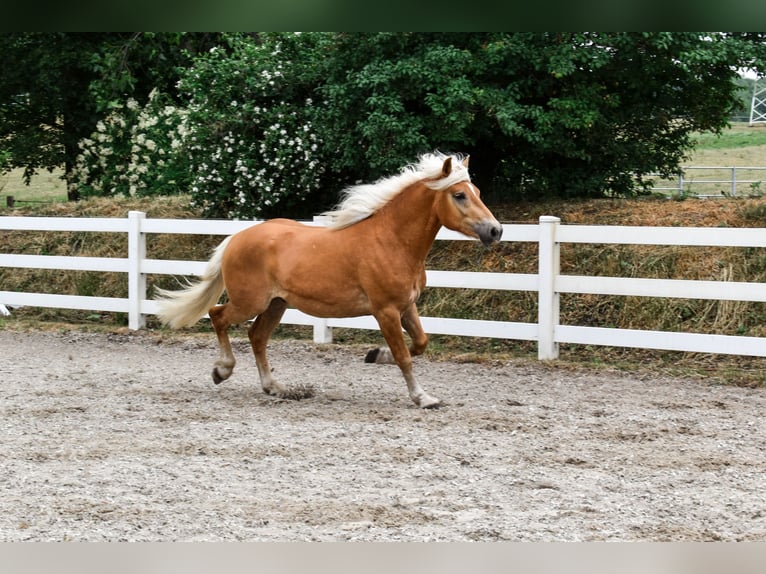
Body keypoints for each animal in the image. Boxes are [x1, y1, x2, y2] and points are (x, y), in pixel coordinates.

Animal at [155, 153, 504, 410]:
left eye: (478, 193)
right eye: (459, 195)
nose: (495, 230)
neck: (392, 241)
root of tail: (237, 238)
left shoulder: (407, 306)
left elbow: (420, 343)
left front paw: (374, 355)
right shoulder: (385, 311)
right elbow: (405, 355)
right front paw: (423, 398)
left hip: (276, 304)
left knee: (256, 336)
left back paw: (275, 387)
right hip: (249, 301)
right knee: (217, 316)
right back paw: (222, 370)